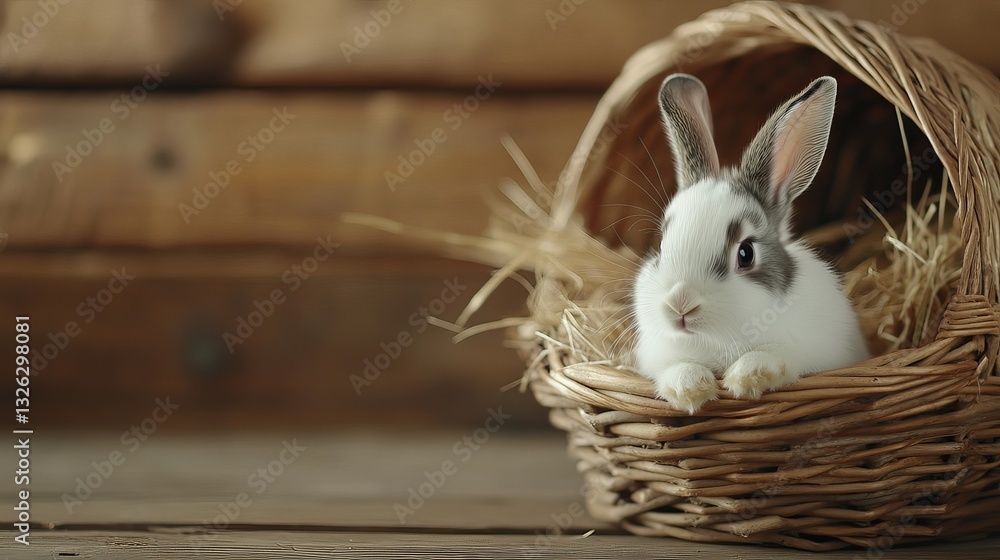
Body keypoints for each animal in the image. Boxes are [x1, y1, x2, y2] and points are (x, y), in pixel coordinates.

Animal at [632, 73, 870, 414]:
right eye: (662, 246)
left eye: (746, 254)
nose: (681, 305)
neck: (717, 338)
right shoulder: (661, 357)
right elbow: (677, 368)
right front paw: (692, 389)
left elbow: (776, 356)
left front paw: (746, 377)